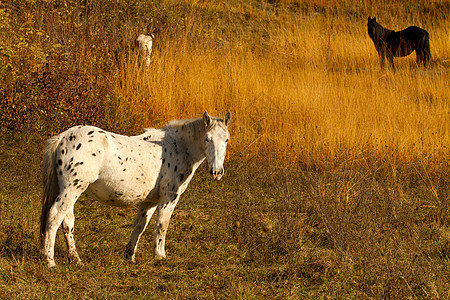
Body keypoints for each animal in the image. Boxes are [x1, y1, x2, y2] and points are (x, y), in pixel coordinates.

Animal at [40, 112, 232, 268]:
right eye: (207, 138)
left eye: (226, 139)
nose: (216, 172)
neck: (179, 147)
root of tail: (62, 138)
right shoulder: (169, 197)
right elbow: (162, 225)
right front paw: (160, 257)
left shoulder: (150, 201)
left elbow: (140, 226)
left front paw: (129, 257)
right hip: (72, 188)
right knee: (55, 216)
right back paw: (50, 261)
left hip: (70, 190)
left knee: (67, 222)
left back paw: (75, 259)